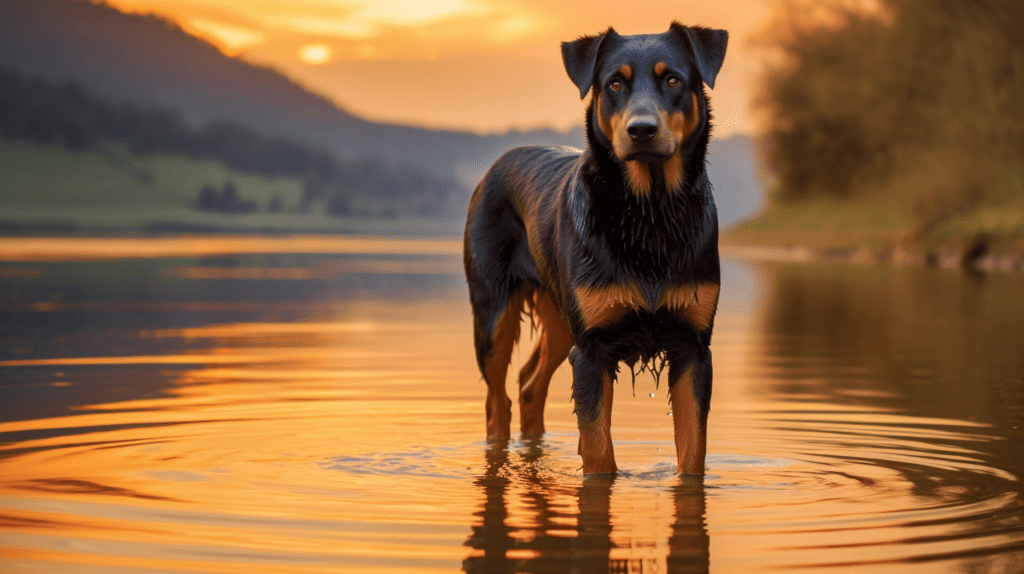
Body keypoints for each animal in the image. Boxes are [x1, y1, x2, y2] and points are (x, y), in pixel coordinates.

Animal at [464, 22, 729, 474]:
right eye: (615, 84)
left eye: (673, 80)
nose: (642, 129)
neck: (650, 214)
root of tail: (492, 170)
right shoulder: (591, 349)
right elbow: (599, 453)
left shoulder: (693, 347)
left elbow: (693, 452)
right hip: (494, 315)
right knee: (496, 401)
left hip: (559, 316)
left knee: (530, 384)